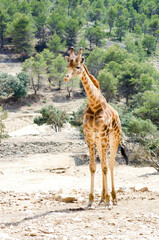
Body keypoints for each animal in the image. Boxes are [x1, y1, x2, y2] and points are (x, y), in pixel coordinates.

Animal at [63, 47, 128, 208]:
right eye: (67, 65)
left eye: (78, 67)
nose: (66, 77)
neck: (94, 104)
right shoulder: (89, 136)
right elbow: (93, 166)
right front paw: (91, 200)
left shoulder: (104, 135)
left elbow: (104, 166)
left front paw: (109, 200)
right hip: (99, 141)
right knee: (104, 163)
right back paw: (102, 198)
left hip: (114, 138)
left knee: (111, 164)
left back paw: (113, 198)